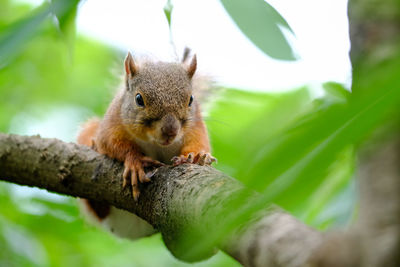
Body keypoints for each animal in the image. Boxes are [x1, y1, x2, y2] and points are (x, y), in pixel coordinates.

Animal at [77, 48, 217, 241]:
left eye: (191, 99)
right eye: (138, 99)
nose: (170, 131)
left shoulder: (197, 127)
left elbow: (199, 143)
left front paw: (197, 156)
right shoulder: (113, 122)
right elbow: (111, 143)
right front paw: (135, 161)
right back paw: (93, 145)